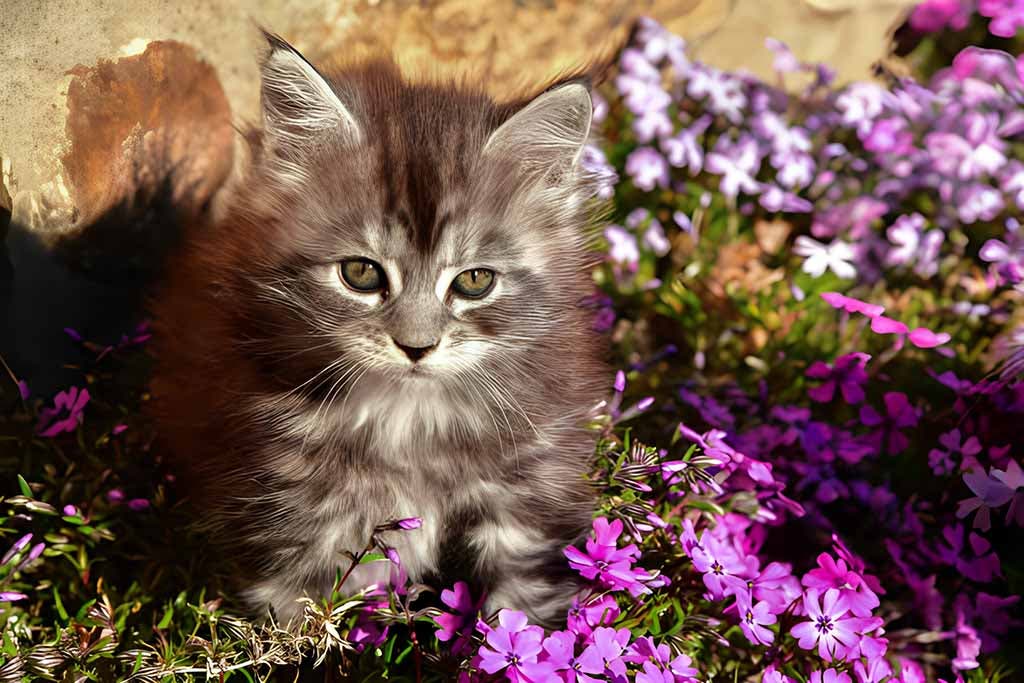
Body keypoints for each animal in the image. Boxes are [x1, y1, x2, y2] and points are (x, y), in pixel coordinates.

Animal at [149, 34, 606, 626]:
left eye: (475, 280)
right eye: (361, 273)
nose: (416, 346)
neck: (412, 419)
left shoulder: (529, 501)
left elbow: (523, 618)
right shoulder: (295, 523)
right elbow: (298, 631)